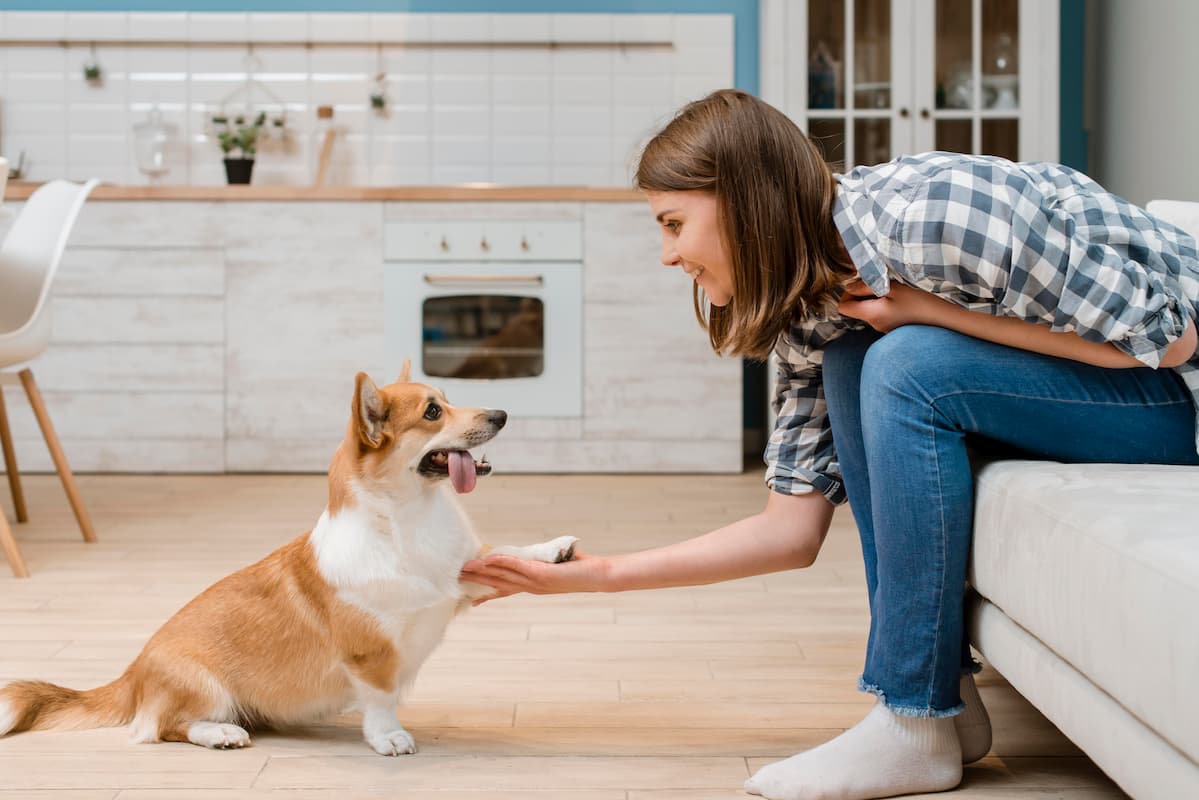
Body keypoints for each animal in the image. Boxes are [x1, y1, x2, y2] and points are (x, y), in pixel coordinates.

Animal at [0, 364, 575, 758]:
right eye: (433, 412)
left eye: (450, 399)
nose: (502, 415)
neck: (408, 518)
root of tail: (132, 671)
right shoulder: (370, 652)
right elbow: (381, 698)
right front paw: (389, 738)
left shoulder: (461, 576)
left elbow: (504, 552)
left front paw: (554, 550)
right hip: (202, 685)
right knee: (163, 727)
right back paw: (222, 733)